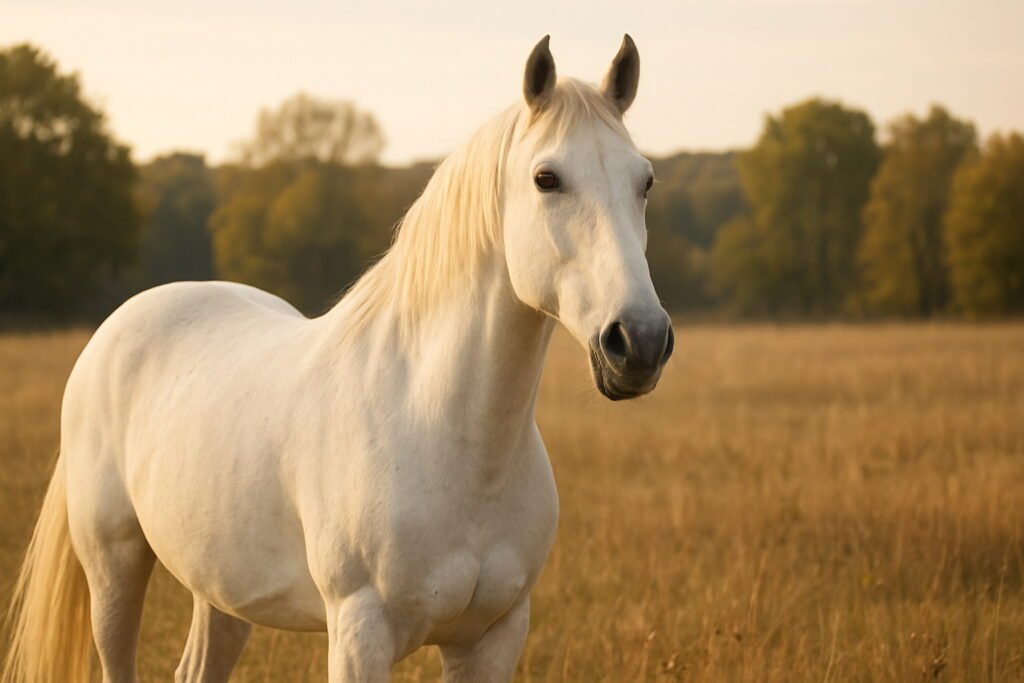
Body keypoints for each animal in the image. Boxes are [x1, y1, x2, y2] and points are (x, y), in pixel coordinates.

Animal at [3, 35, 673, 683]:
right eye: (546, 178)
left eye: (645, 182)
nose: (639, 341)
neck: (444, 432)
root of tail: (115, 329)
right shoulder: (359, 634)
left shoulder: (493, 637)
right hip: (113, 567)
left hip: (220, 588)